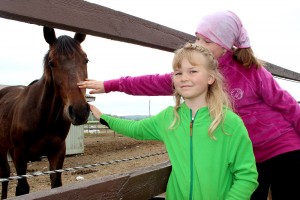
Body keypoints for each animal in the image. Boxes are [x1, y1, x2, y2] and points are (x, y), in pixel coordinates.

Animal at [0, 26, 90, 198]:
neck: (42, 116)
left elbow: (56, 185)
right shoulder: (19, 154)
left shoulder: (57, 152)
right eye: (51, 63)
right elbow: (22, 189)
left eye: (86, 60)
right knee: (5, 175)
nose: (80, 111)